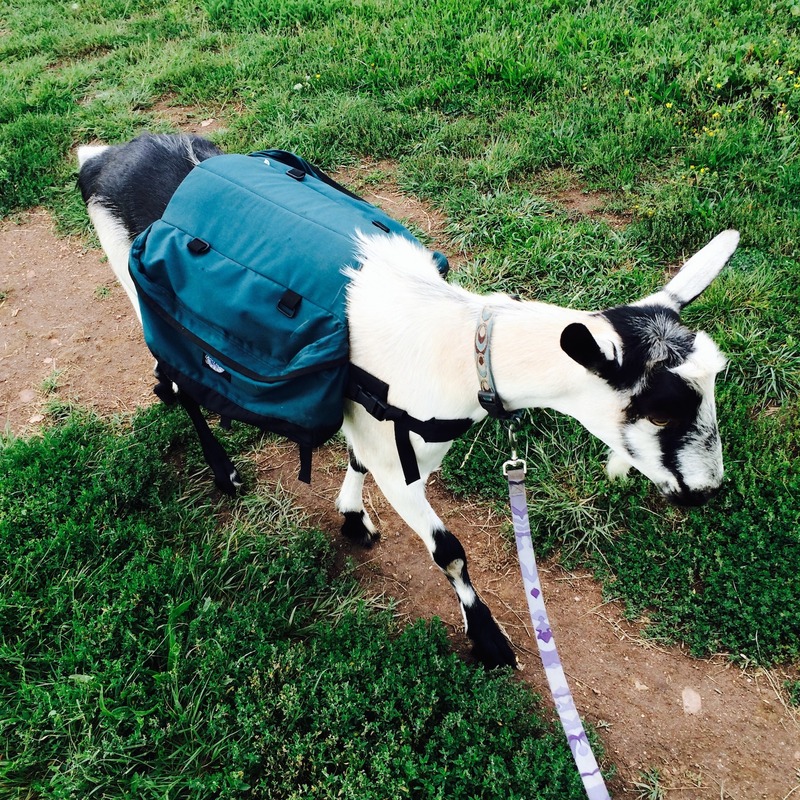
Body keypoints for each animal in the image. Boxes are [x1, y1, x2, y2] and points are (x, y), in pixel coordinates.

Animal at [78, 133, 738, 669]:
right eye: (659, 409)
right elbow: (450, 551)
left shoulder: (385, 431)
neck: (458, 345)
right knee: (185, 382)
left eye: (714, 382)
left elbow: (357, 460)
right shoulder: (399, 461)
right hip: (141, 289)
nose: (709, 492)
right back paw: (224, 470)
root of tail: (103, 159)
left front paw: (352, 518)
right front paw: (490, 642)